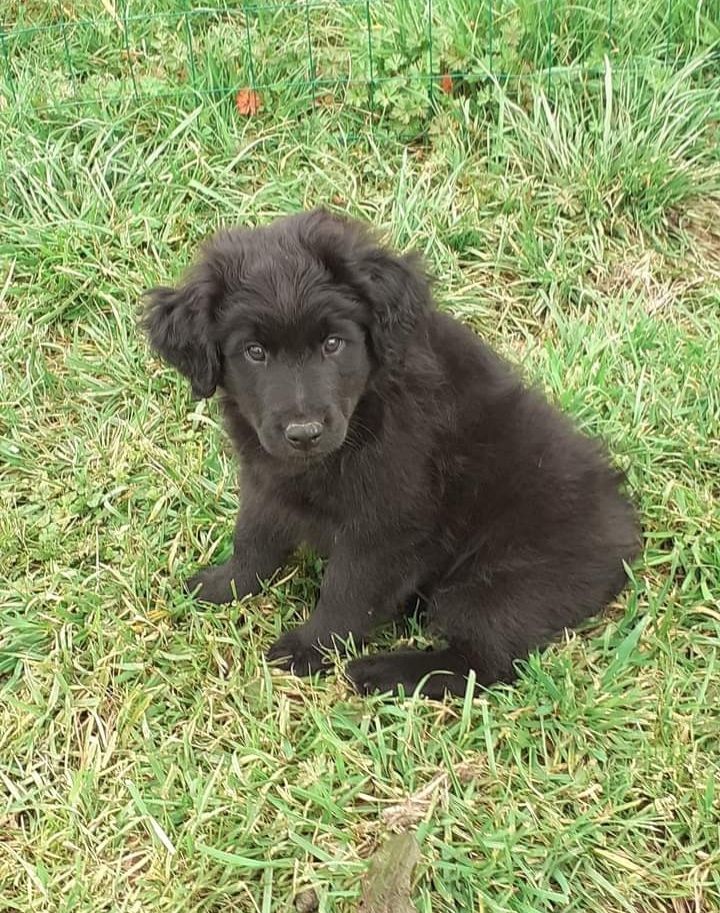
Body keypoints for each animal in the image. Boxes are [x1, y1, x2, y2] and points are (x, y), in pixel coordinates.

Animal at [143, 212, 640, 700]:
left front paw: (309, 649)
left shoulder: (387, 525)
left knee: (482, 663)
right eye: (254, 352)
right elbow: (254, 540)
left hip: (500, 583)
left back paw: (383, 671)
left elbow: (346, 592)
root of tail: (625, 537)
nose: (304, 434)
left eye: (332, 343)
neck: (367, 410)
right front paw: (222, 585)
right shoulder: (267, 481)